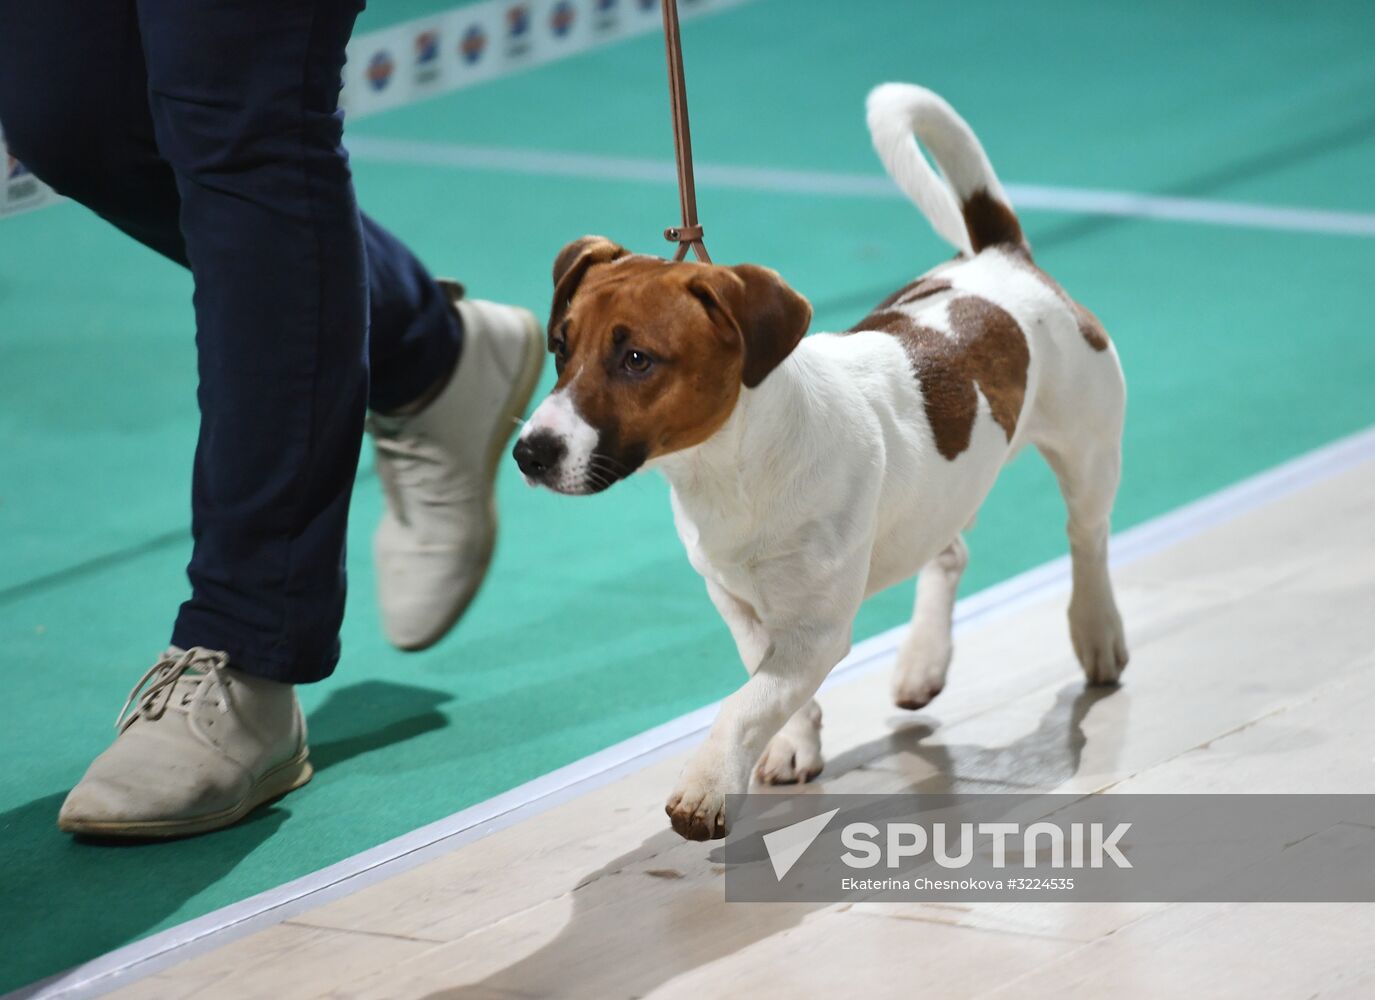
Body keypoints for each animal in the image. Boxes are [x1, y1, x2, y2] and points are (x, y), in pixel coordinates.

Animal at [517, 84, 1127, 847]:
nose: (529, 452)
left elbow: (744, 702)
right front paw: (790, 744)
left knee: (1087, 539)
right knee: (949, 549)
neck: (731, 467)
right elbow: (764, 686)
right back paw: (922, 660)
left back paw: (1097, 633)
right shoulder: (739, 606)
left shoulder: (816, 630)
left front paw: (706, 784)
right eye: (560, 347)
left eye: (636, 360)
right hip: (936, 496)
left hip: (1088, 450)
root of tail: (999, 257)